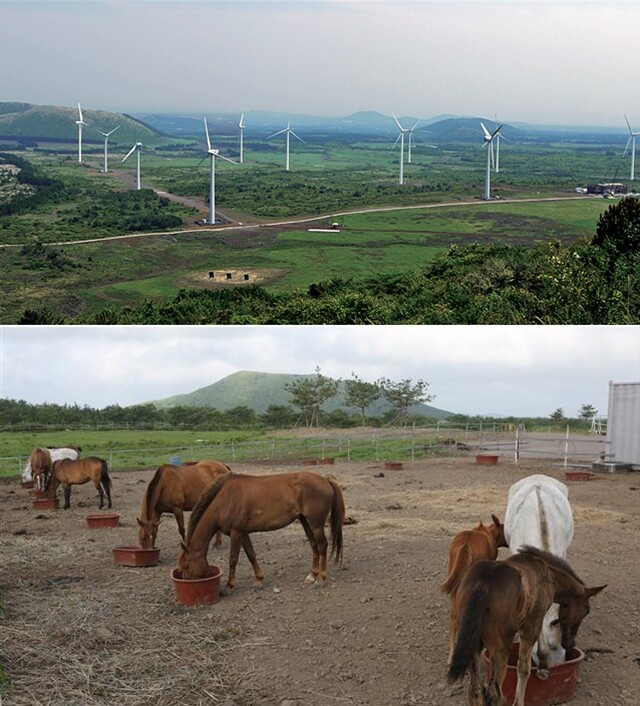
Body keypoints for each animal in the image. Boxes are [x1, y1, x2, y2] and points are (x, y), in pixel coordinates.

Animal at [175, 470, 344, 592]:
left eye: (187, 566)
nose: (188, 585)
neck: (226, 500)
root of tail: (325, 481)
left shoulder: (236, 533)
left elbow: (233, 559)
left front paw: (230, 585)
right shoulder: (243, 533)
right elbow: (251, 555)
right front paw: (259, 580)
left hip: (316, 524)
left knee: (322, 546)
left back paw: (321, 577)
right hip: (305, 521)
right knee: (314, 545)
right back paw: (312, 575)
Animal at [444, 544, 604, 704]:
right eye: (586, 610)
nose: (569, 643)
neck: (548, 574)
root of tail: (483, 585)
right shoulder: (531, 624)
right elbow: (524, 668)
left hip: (474, 646)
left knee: (475, 690)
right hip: (499, 648)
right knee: (494, 693)